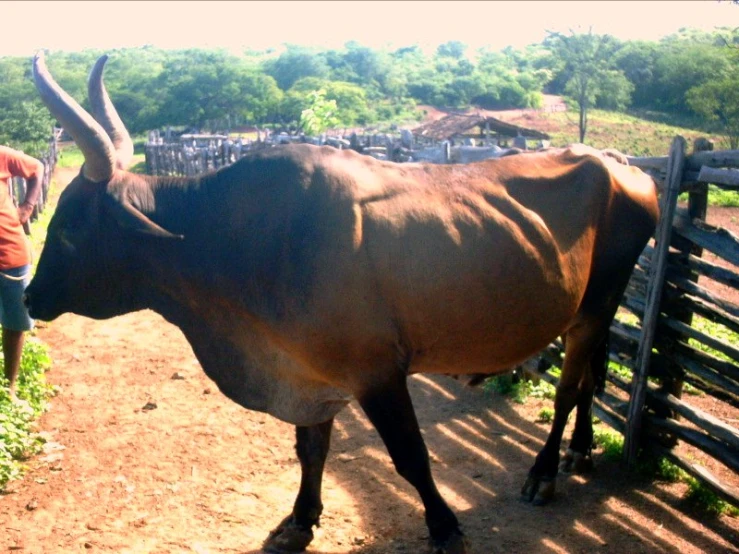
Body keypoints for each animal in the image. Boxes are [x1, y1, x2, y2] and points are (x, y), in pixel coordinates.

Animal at [24, 52, 660, 552]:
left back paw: (545, 473)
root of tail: (618, 162)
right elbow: (310, 449)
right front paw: (300, 520)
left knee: (567, 388)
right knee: (592, 375)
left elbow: (410, 457)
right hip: (594, 309)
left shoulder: (376, 374)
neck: (238, 241)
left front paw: (444, 528)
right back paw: (581, 453)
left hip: (596, 305)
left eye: (71, 227)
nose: (30, 294)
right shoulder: (310, 374)